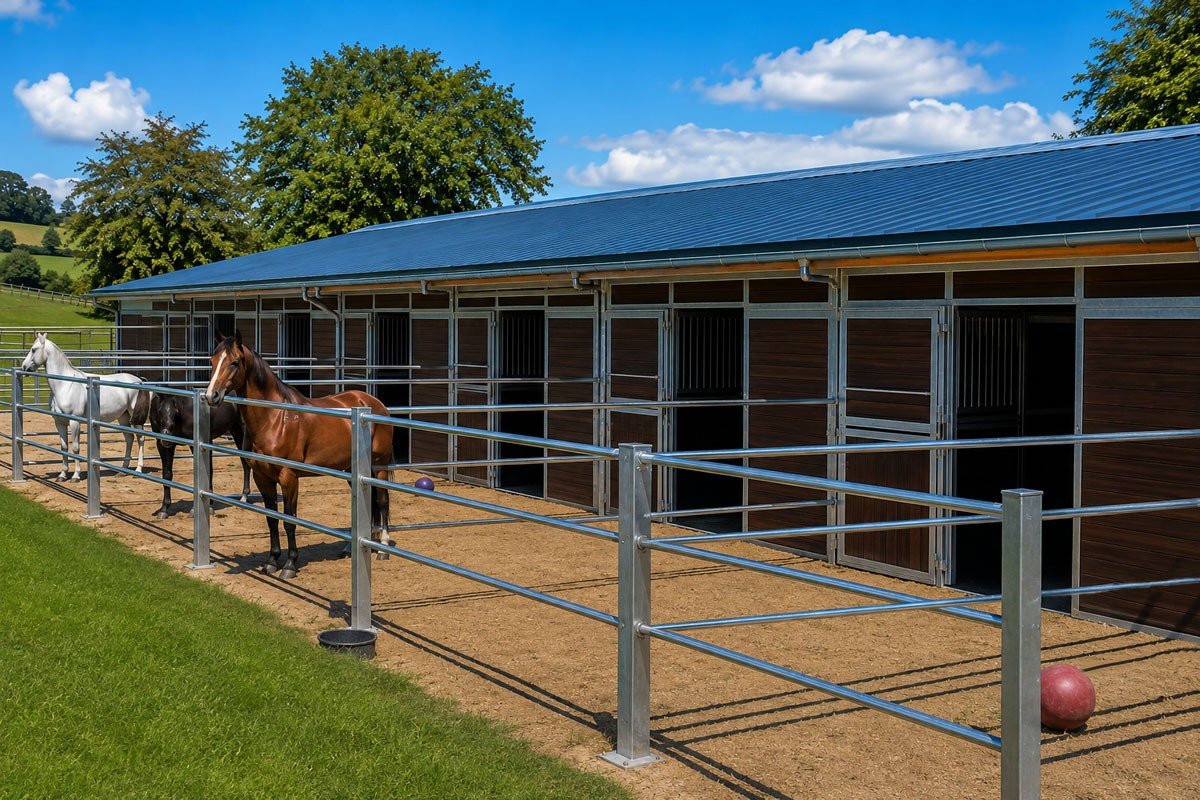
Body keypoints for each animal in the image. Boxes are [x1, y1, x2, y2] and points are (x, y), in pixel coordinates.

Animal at [20, 332, 149, 482]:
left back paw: (138, 469)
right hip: (123, 417)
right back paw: (122, 471)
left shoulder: (74, 421)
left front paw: (76, 476)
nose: (24, 367)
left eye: (33, 349)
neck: (65, 385)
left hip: (135, 416)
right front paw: (62, 475)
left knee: (141, 438)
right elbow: (64, 447)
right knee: (129, 438)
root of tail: (139, 381)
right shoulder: (59, 422)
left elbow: (75, 448)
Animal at [148, 391, 253, 520]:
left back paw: (245, 496)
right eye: (159, 411)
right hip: (236, 431)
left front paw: (200, 509)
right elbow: (167, 474)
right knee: (245, 463)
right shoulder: (162, 445)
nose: (166, 437)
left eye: (176, 411)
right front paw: (164, 509)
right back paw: (244, 496)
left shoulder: (197, 443)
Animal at [203, 330, 393, 579]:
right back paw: (350, 548)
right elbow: (272, 520)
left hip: (379, 467)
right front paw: (272, 561)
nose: (211, 396)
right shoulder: (262, 478)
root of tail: (374, 403)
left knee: (382, 501)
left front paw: (290, 565)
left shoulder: (288, 478)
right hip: (353, 471)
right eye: (212, 361)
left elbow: (289, 521)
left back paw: (383, 548)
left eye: (234, 362)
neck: (275, 419)